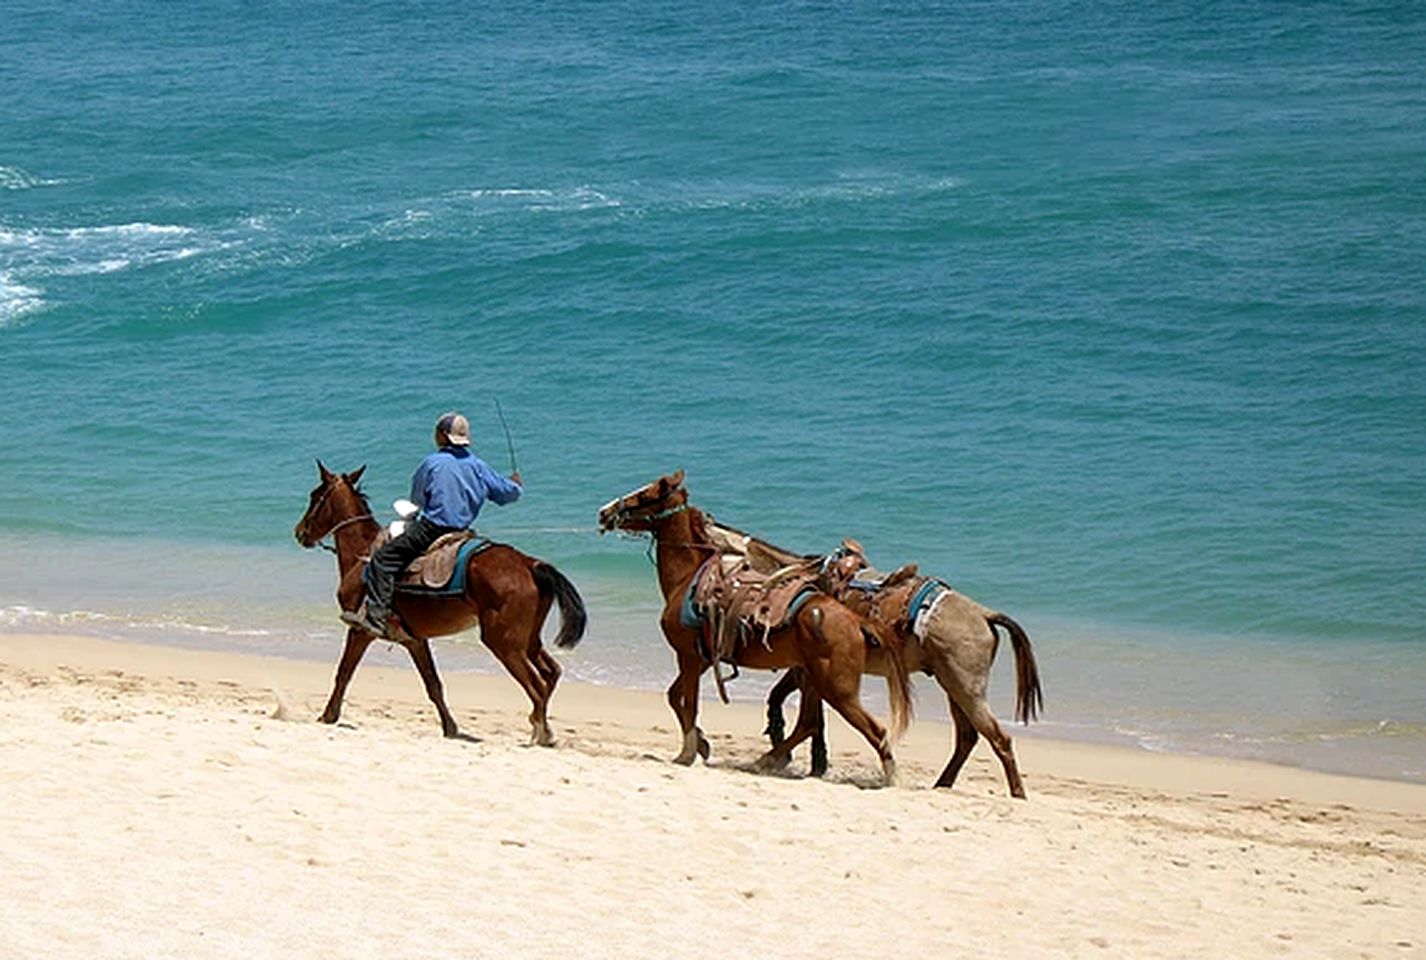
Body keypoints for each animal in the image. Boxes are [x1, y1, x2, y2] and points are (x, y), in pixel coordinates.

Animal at [593, 467, 912, 781]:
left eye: (645, 494)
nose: (604, 512)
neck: (690, 578)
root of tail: (854, 618)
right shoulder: (704, 657)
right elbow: (675, 697)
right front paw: (703, 745)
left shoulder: (688, 656)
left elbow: (689, 704)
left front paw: (688, 753)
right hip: (813, 680)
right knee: (809, 723)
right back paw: (766, 760)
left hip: (837, 688)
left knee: (874, 730)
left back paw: (888, 777)